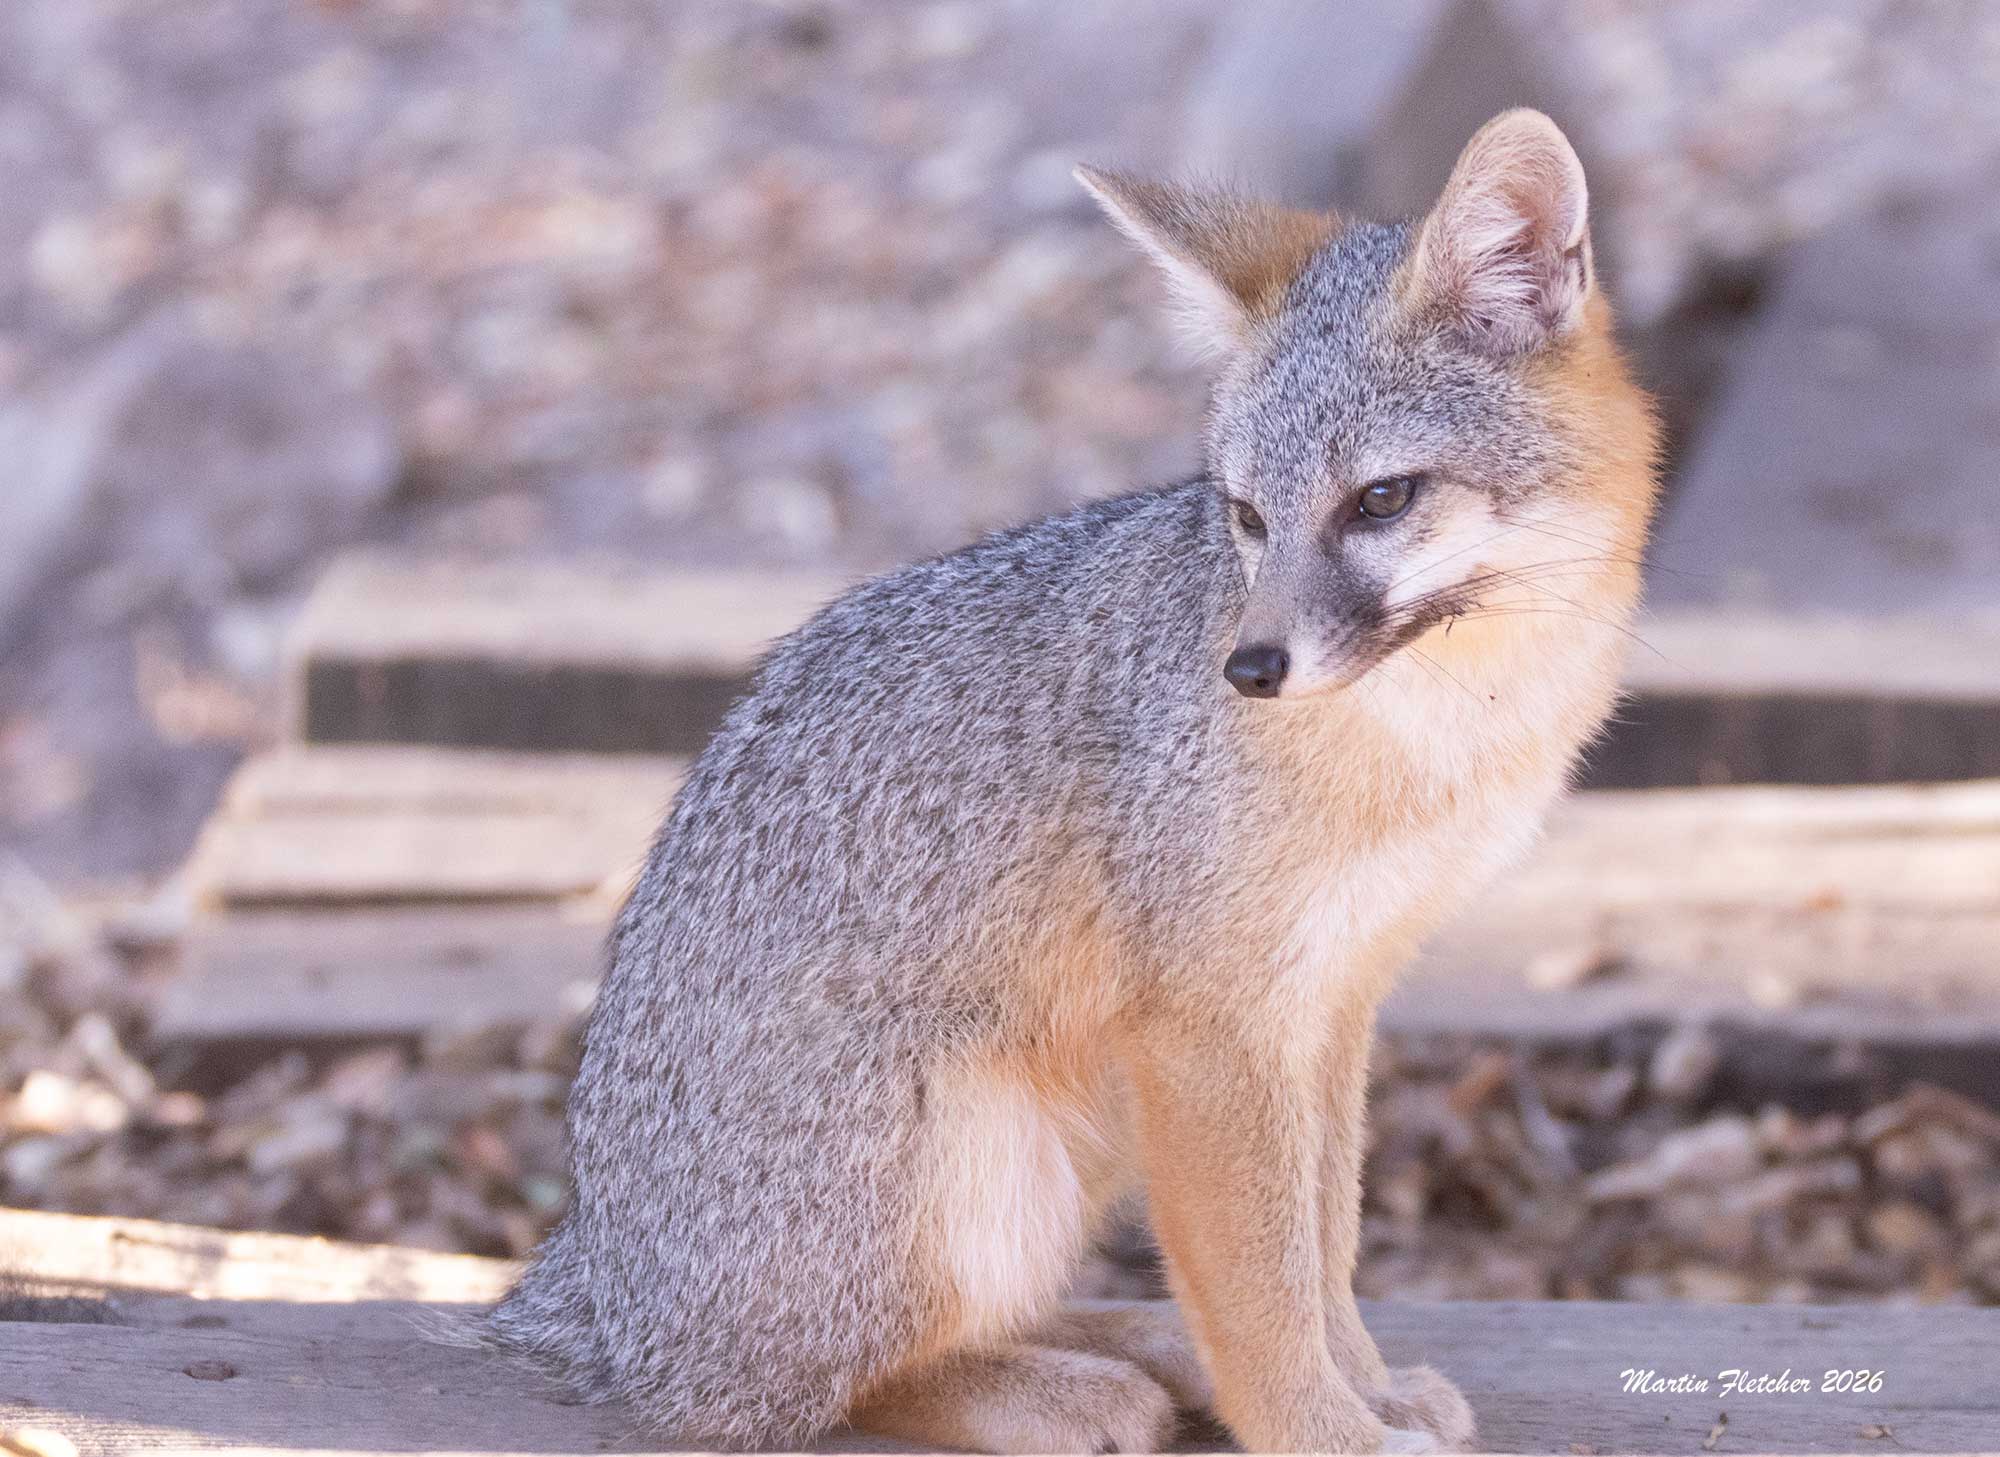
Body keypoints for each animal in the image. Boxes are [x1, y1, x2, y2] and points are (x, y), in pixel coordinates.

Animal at [490, 109, 1660, 1454]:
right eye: (1245, 514)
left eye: (1380, 499)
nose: (1250, 666)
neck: (1444, 733)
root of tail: (595, 1287)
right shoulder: (1213, 1025)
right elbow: (1262, 1284)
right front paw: (1322, 1428)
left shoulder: (1331, 1004)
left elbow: (1321, 1245)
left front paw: (1360, 1384)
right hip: (980, 1149)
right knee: (803, 1389)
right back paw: (1058, 1385)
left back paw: (1136, 1346)